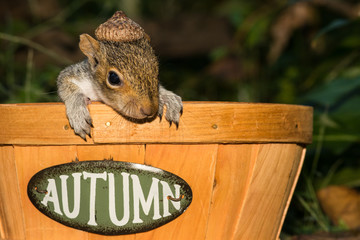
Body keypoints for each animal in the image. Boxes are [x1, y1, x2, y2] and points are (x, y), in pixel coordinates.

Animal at [58, 11, 184, 141]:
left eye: (156, 71)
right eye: (113, 78)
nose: (150, 110)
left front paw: (168, 97)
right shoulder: (78, 74)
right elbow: (65, 82)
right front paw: (78, 112)